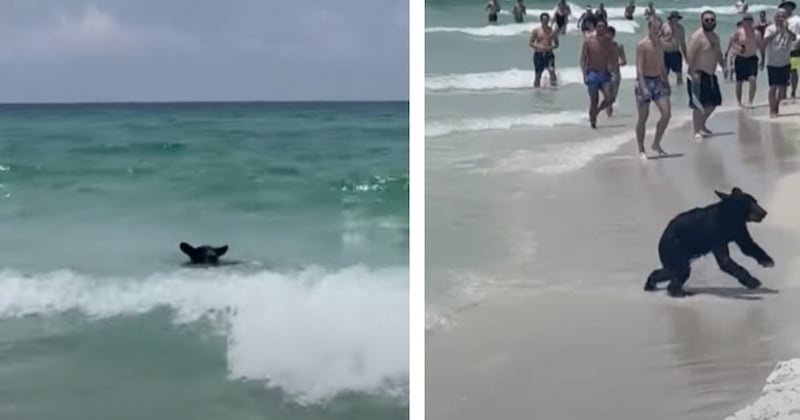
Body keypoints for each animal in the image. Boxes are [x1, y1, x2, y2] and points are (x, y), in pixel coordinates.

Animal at [644, 187, 776, 298]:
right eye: (752, 203)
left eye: (756, 201)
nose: (765, 212)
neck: (730, 215)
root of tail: (661, 238)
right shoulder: (716, 232)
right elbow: (725, 261)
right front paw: (753, 281)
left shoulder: (739, 229)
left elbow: (748, 246)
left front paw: (767, 261)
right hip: (674, 249)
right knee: (680, 269)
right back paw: (677, 292)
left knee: (673, 270)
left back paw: (652, 283)